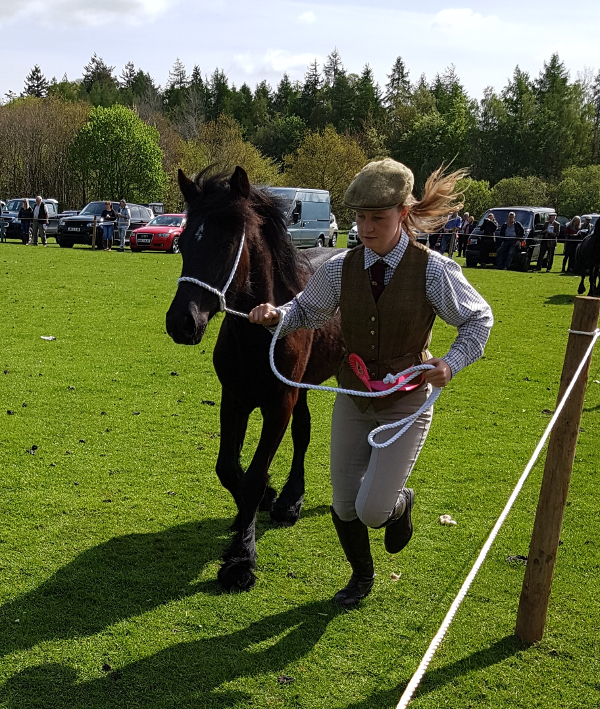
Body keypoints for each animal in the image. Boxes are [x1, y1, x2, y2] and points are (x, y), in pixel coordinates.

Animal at [166, 166, 344, 592]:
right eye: (183, 241)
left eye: (228, 242)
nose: (182, 322)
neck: (261, 329)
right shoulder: (235, 398)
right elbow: (231, 471)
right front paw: (255, 508)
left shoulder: (277, 404)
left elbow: (254, 475)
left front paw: (241, 558)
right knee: (303, 430)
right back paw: (288, 498)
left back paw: (292, 502)